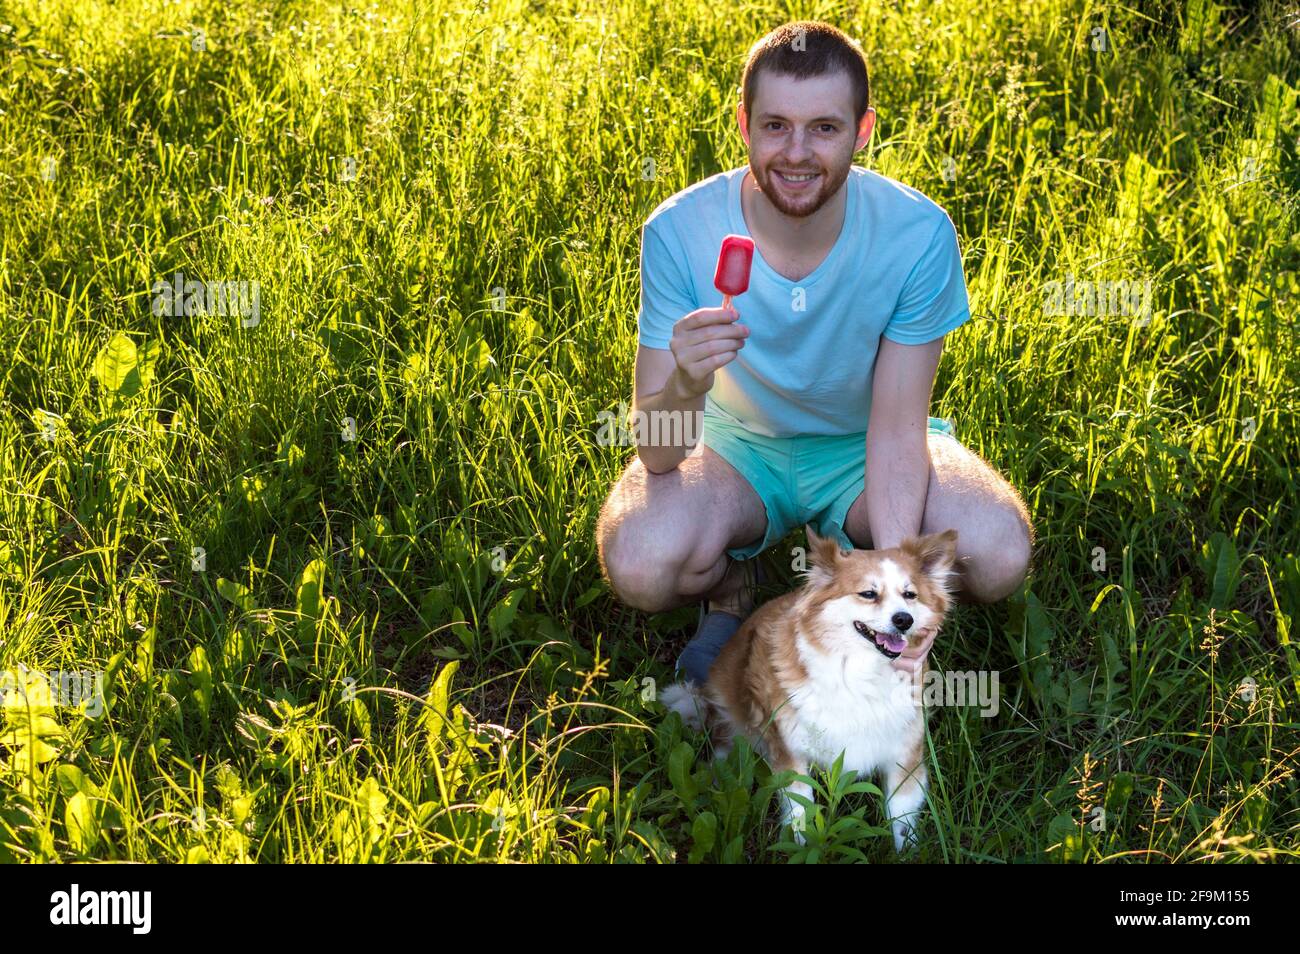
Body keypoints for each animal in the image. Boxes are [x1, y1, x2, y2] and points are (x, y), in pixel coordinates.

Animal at [660, 527, 956, 857]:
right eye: (868, 594)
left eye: (910, 595)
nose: (904, 619)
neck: (862, 673)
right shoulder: (791, 754)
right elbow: (800, 809)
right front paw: (799, 847)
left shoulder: (905, 754)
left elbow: (901, 815)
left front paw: (907, 851)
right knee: (724, 742)